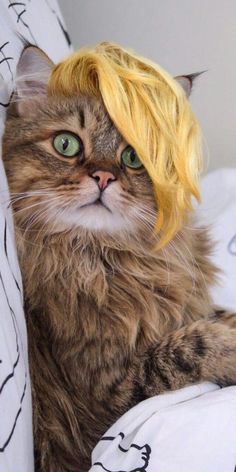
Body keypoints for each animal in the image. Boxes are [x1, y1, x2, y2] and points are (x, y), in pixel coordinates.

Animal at [2, 42, 236, 470]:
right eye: (66, 144)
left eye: (132, 158)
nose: (103, 177)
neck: (108, 261)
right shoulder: (102, 401)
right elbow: (191, 345)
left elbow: (215, 316)